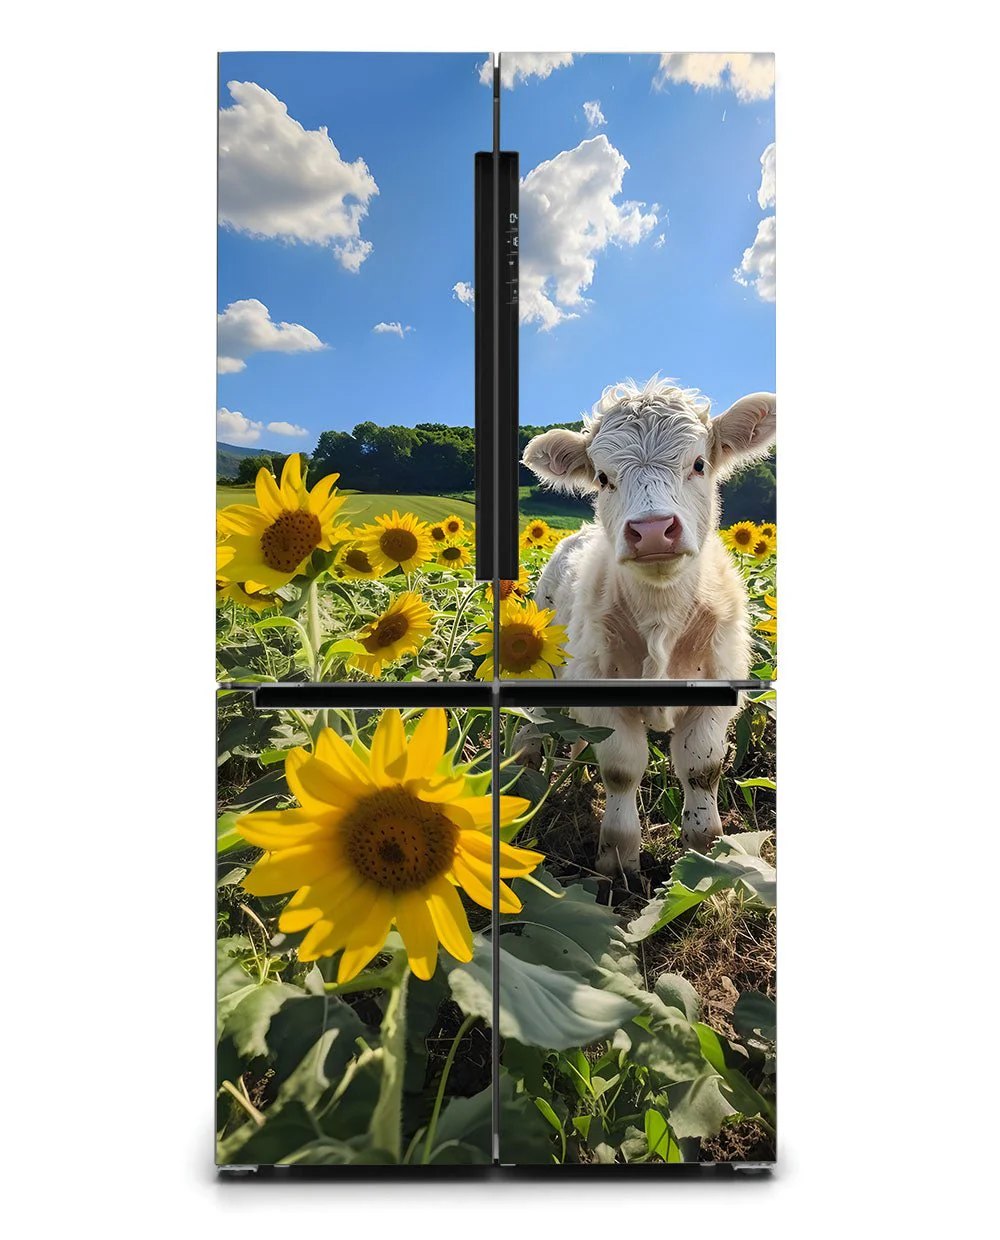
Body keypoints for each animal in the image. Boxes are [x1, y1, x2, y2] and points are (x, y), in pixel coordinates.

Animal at [521, 377, 776, 878]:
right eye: (603, 477)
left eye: (698, 463)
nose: (655, 530)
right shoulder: (604, 694)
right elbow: (621, 769)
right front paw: (618, 862)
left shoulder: (715, 691)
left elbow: (702, 769)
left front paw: (706, 858)